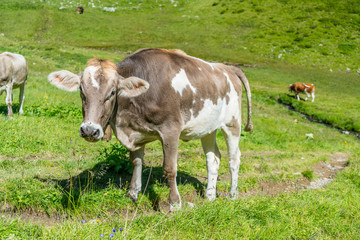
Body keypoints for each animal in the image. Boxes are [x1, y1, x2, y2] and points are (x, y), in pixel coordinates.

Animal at [46, 48, 252, 210]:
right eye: (82, 90)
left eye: (112, 92)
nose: (89, 130)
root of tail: (227, 68)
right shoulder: (137, 132)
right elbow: (136, 162)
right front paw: (133, 193)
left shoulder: (171, 130)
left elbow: (170, 168)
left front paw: (175, 204)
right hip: (208, 128)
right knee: (213, 158)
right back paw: (210, 195)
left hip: (232, 123)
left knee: (234, 159)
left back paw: (233, 195)